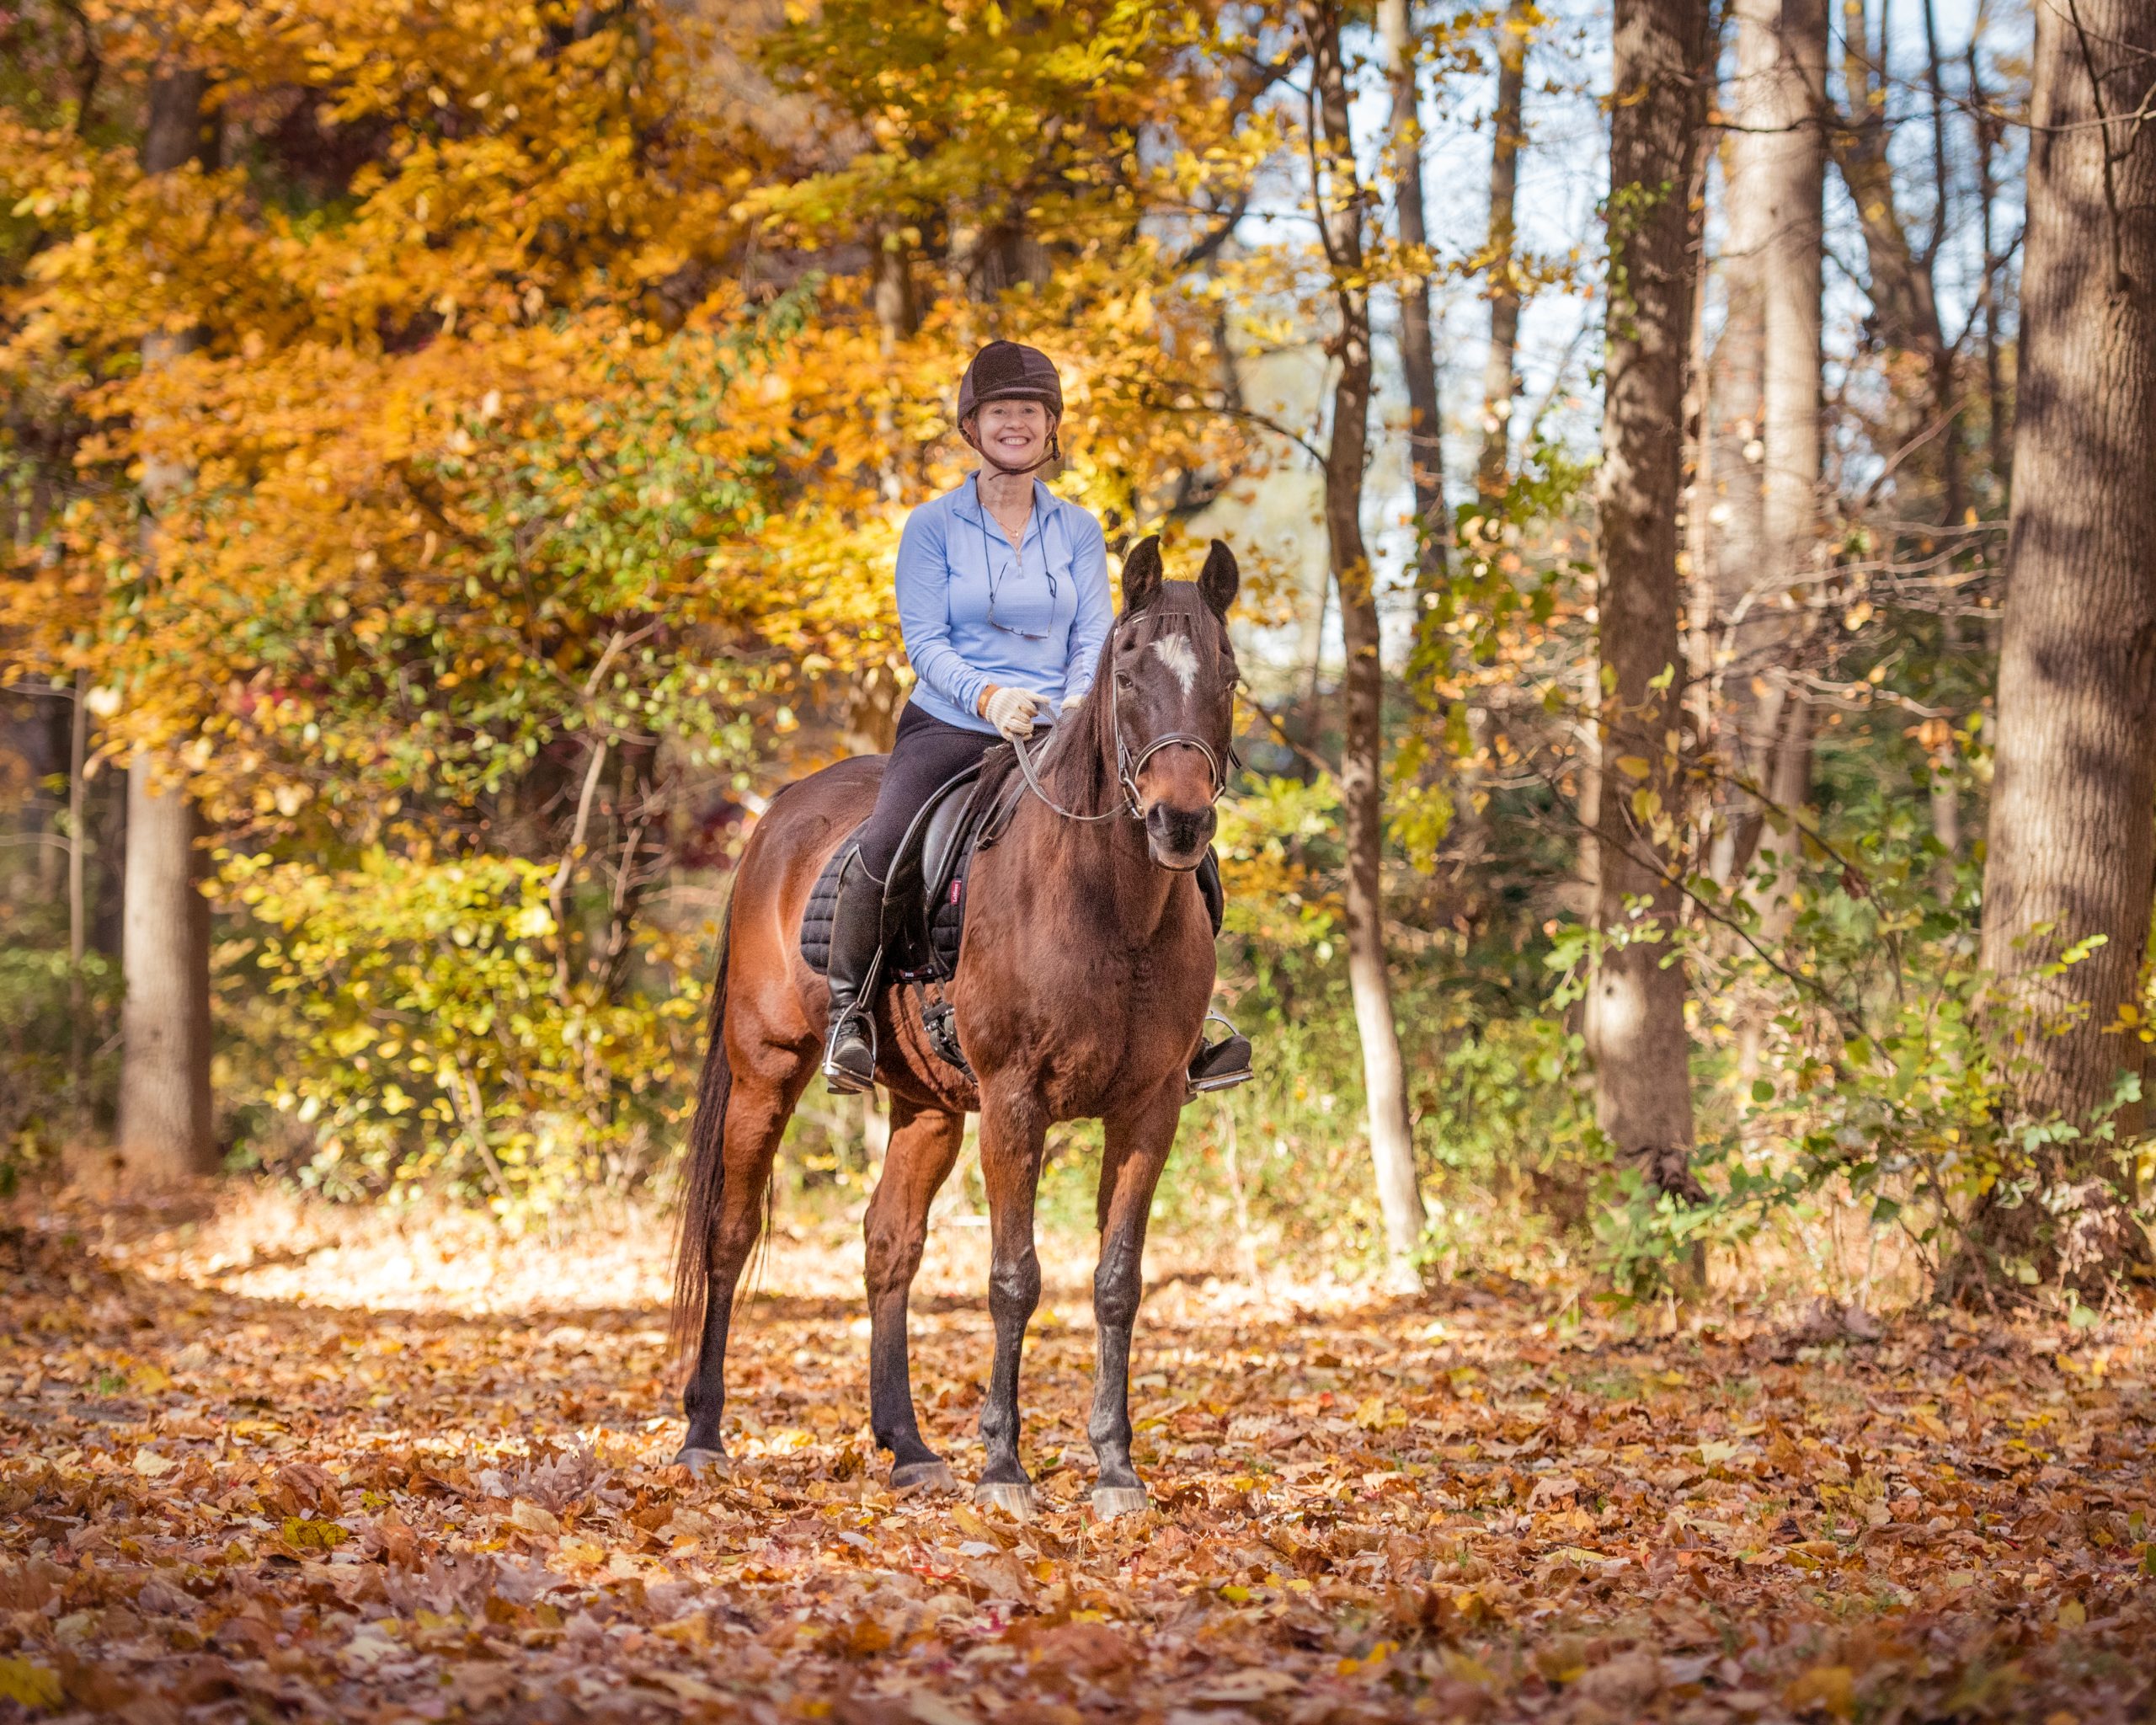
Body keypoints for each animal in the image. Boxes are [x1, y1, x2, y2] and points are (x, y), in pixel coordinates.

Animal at [668, 534, 1240, 1519]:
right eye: (1127, 675)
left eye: (1228, 674)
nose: (1179, 822)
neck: (1108, 902)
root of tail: (780, 814)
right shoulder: (1015, 1103)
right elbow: (1014, 1279)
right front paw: (1004, 1466)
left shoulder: (1150, 1108)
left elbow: (1116, 1282)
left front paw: (1115, 1468)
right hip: (764, 1070)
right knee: (730, 1233)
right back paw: (705, 1434)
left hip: (927, 1107)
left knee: (888, 1247)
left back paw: (906, 1446)